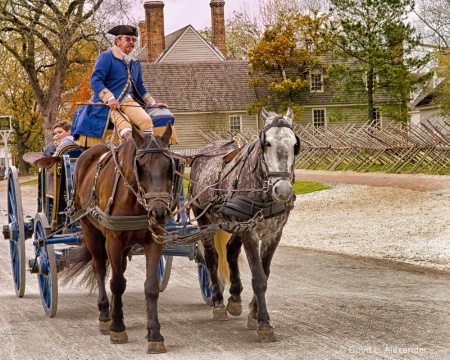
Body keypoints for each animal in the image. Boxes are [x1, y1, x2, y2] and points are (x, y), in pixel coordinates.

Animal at [62, 123, 174, 352]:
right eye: (141, 165)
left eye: (169, 164)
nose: (159, 212)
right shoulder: (113, 241)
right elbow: (117, 283)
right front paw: (117, 327)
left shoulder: (154, 240)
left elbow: (150, 286)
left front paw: (155, 334)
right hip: (91, 232)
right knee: (100, 268)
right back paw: (106, 315)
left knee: (118, 270)